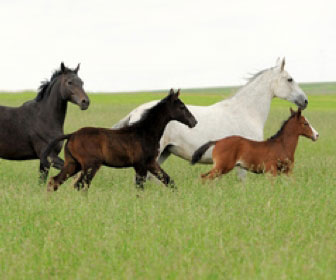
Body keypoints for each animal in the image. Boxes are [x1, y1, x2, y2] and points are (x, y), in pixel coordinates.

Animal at [42, 88, 197, 191]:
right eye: (182, 107)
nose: (193, 122)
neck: (145, 132)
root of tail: (72, 135)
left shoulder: (151, 163)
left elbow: (168, 180)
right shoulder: (141, 164)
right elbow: (140, 187)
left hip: (73, 164)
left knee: (55, 181)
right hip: (91, 165)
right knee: (80, 185)